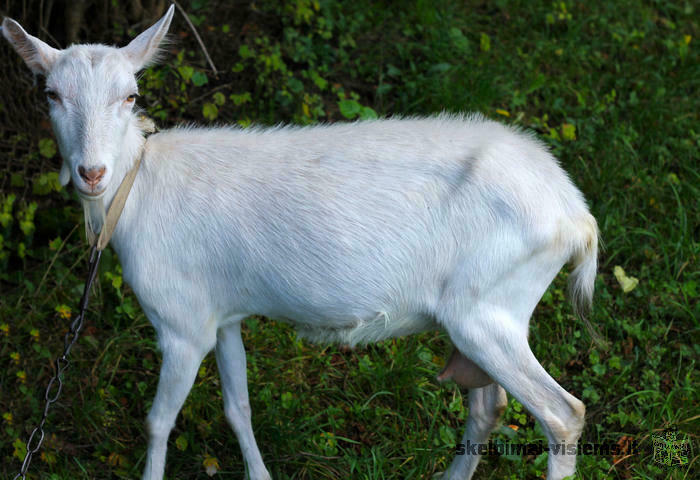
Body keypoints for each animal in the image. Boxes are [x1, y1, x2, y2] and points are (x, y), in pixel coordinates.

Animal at [2, 6, 600, 480]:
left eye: (131, 95)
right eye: (51, 94)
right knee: (487, 408)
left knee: (563, 414)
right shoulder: (223, 314)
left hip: (487, 309)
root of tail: (577, 216)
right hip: (477, 320)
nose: (92, 172)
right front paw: (259, 473)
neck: (137, 190)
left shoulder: (182, 322)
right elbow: (237, 407)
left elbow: (158, 421)